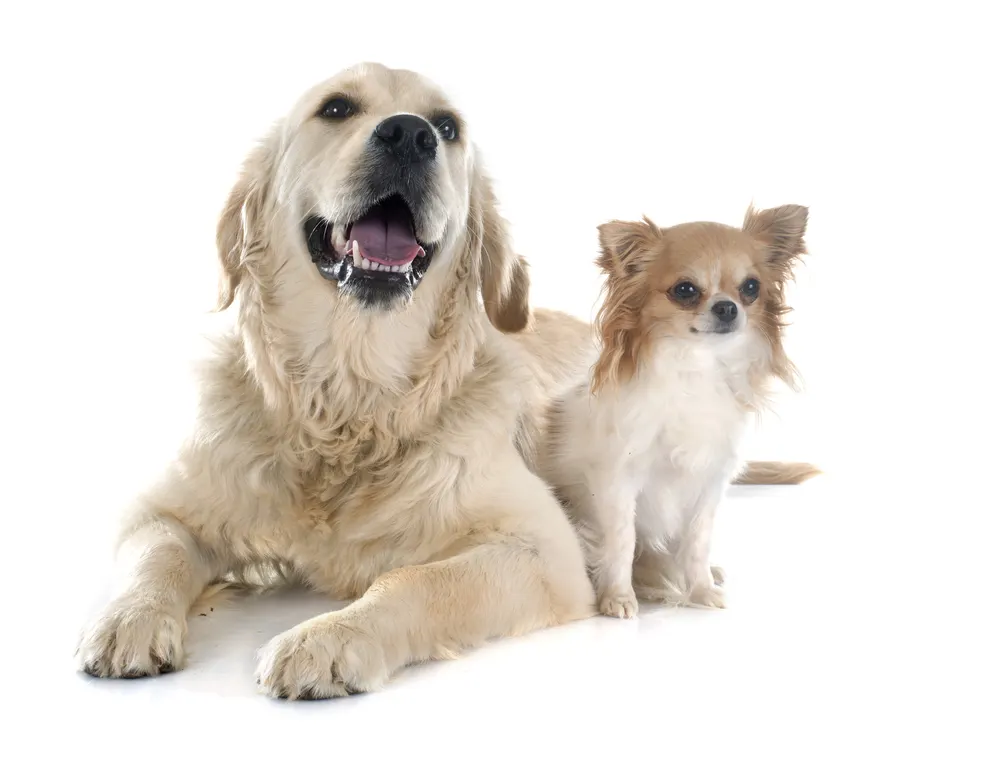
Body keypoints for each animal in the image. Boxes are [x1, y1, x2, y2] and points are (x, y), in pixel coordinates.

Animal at [76, 62, 600, 700]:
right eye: (336, 108)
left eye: (448, 127)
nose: (410, 134)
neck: (351, 394)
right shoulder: (164, 507)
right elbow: (157, 554)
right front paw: (129, 619)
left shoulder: (545, 551)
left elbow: (414, 578)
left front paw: (328, 637)